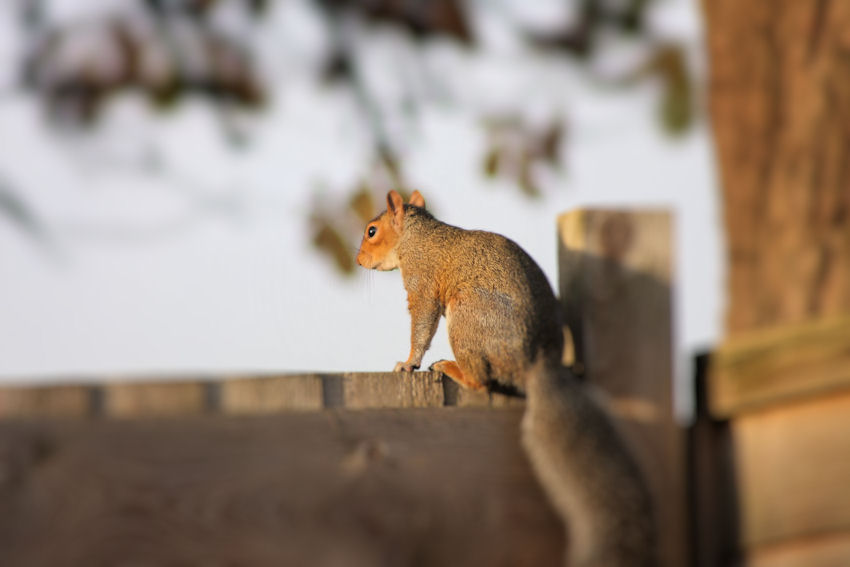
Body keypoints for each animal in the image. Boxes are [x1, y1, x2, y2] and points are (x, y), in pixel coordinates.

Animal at [354, 192, 652, 567]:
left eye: (372, 230)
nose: (358, 259)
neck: (417, 235)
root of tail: (536, 360)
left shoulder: (422, 281)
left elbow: (421, 325)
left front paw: (409, 362)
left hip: (467, 315)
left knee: (480, 381)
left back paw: (450, 367)